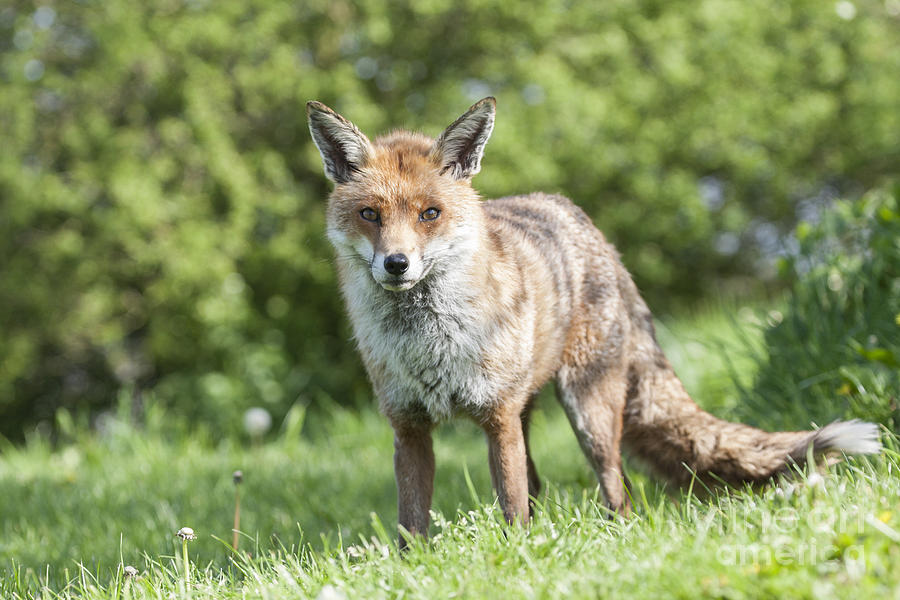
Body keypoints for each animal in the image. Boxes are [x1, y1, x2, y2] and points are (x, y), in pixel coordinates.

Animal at [308, 97, 880, 544]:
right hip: (531, 411)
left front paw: (516, 560)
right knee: (539, 487)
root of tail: (584, 221)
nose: (396, 264)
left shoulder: (497, 416)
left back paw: (616, 536)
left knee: (615, 489)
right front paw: (416, 569)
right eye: (370, 215)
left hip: (587, 409)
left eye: (430, 214)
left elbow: (510, 507)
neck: (428, 342)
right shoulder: (409, 427)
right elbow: (411, 526)